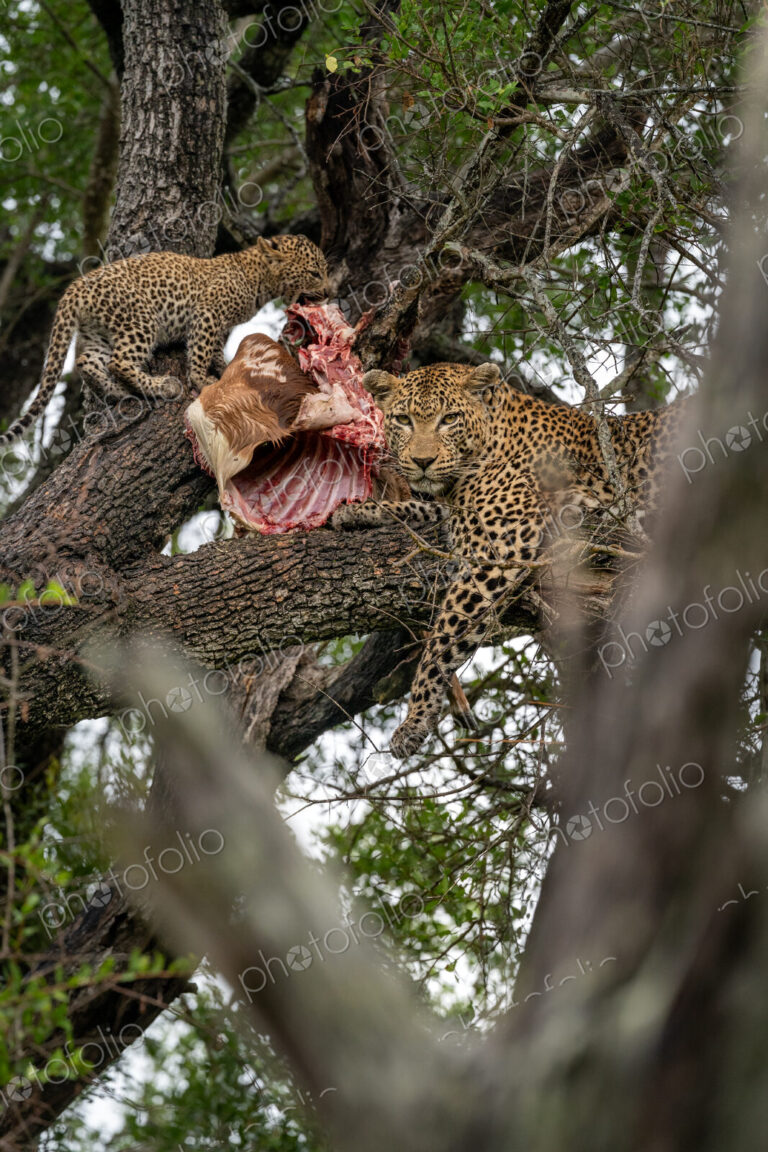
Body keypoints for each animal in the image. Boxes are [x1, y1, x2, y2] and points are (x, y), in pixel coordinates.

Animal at [0, 234, 328, 447]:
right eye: (315, 273)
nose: (328, 292)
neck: (260, 278)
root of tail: (76, 286)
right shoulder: (208, 312)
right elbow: (200, 350)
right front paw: (201, 379)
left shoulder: (218, 323)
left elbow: (215, 351)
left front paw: (225, 367)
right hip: (141, 318)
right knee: (120, 360)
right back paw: (161, 386)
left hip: (98, 332)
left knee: (87, 361)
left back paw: (120, 392)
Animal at [332, 360, 689, 759]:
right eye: (403, 419)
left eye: (449, 419)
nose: (423, 461)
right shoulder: (456, 510)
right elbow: (420, 507)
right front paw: (357, 512)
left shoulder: (497, 552)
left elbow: (442, 641)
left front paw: (415, 719)